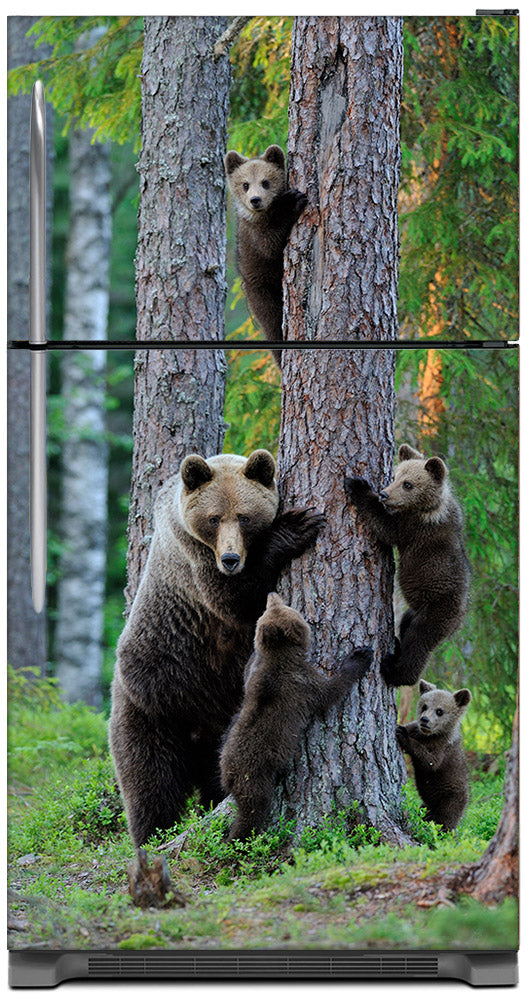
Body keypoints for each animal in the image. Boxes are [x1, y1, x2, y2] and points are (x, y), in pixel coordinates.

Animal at [110, 450, 325, 848]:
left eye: (244, 516)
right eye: (213, 518)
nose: (230, 559)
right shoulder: (193, 560)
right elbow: (233, 600)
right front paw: (296, 526)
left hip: (222, 727)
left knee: (214, 779)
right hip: (151, 705)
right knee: (150, 783)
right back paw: (151, 837)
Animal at [219, 592, 374, 841]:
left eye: (273, 606)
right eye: (287, 607)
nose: (272, 594)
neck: (280, 656)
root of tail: (229, 775)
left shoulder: (254, 674)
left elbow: (247, 671)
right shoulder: (303, 684)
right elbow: (331, 691)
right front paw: (359, 656)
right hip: (255, 778)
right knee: (253, 810)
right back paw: (242, 837)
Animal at [224, 144, 307, 364]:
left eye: (265, 181)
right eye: (245, 184)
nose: (255, 200)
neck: (265, 213)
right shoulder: (254, 234)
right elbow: (270, 245)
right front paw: (292, 202)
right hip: (261, 290)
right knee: (272, 324)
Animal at [344, 444, 470, 688]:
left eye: (408, 484)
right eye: (395, 476)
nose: (384, 494)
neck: (430, 507)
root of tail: (460, 620)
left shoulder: (414, 529)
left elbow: (386, 527)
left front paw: (358, 486)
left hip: (437, 611)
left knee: (419, 643)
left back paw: (395, 671)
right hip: (415, 610)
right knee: (405, 625)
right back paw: (395, 645)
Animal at [396, 679, 472, 831]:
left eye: (439, 711)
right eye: (424, 706)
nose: (425, 719)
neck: (430, 736)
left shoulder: (442, 748)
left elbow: (430, 762)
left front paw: (403, 736)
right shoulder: (416, 729)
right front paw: (400, 727)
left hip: (450, 799)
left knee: (445, 821)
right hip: (427, 805)